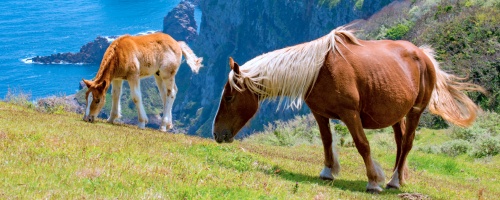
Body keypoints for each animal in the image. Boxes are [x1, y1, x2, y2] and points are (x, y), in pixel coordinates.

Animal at [212, 27, 484, 192]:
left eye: (229, 97)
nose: (217, 134)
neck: (319, 70)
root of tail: (423, 55)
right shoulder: (320, 114)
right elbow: (326, 141)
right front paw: (327, 172)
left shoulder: (350, 114)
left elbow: (362, 144)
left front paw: (373, 181)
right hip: (397, 114)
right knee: (400, 143)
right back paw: (397, 176)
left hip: (415, 111)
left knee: (407, 144)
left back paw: (394, 181)